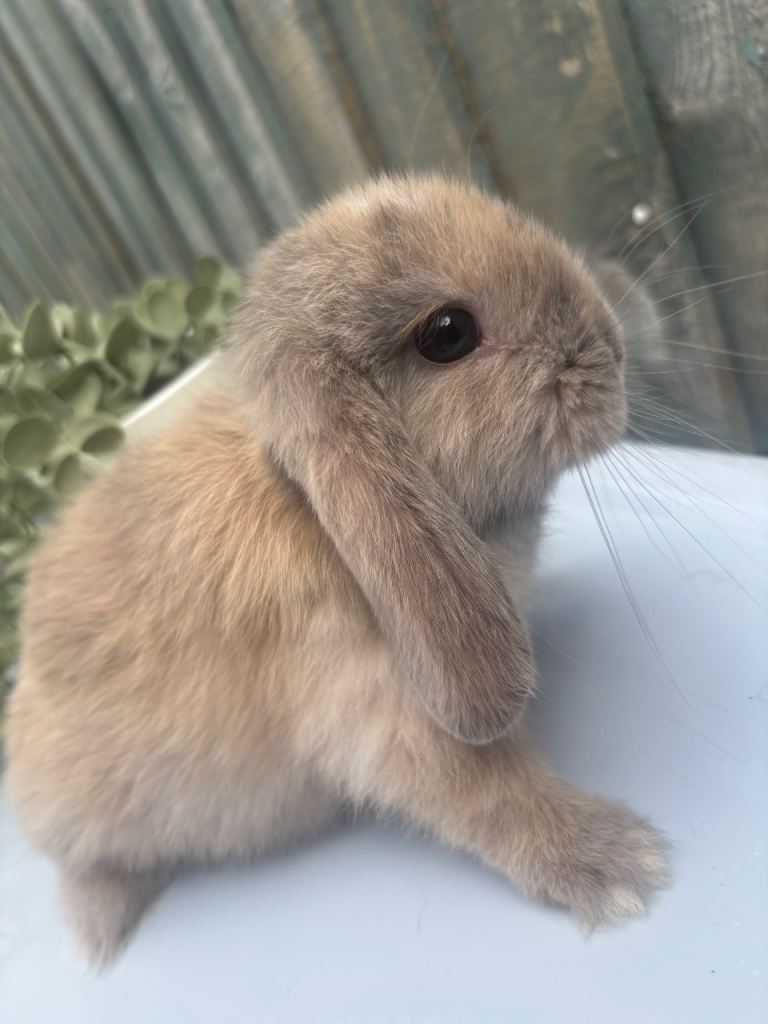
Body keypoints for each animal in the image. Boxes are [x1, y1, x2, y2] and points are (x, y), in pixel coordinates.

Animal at [5, 174, 670, 968]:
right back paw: (100, 927)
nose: (614, 347)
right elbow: (492, 797)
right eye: (449, 334)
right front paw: (620, 865)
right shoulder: (385, 719)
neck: (310, 511)